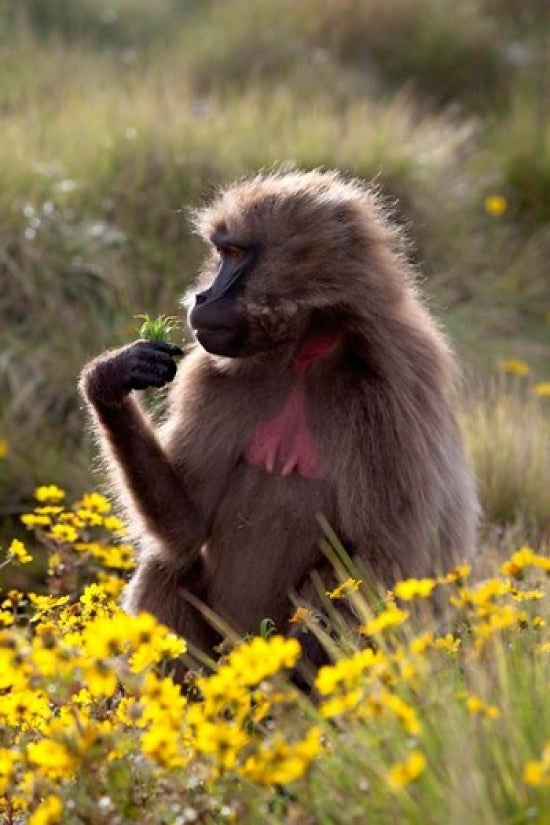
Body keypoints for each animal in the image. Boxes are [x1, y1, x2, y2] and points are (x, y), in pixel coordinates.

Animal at [79, 169, 478, 675]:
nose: (201, 296)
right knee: (167, 566)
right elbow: (186, 529)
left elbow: (385, 552)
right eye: (220, 252)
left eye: (234, 255)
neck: (305, 350)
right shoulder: (211, 375)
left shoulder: (394, 388)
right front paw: (111, 378)